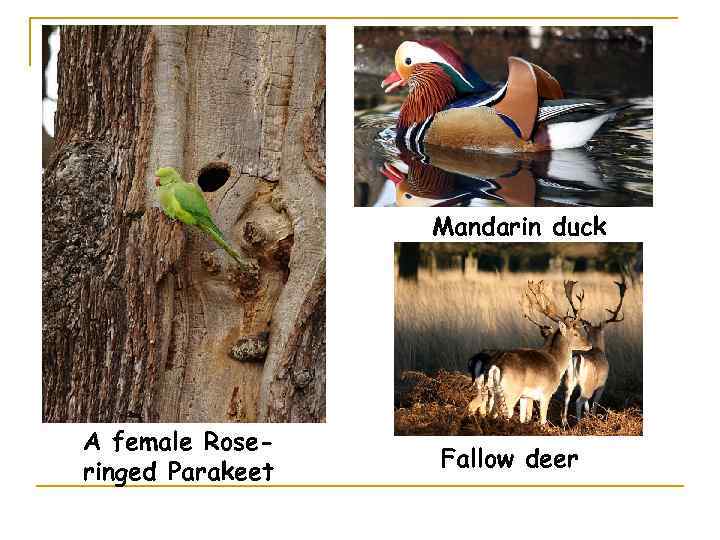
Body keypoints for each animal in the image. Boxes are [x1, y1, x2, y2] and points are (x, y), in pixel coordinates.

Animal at [467, 281, 592, 425]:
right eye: (576, 333)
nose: (589, 344)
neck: (557, 363)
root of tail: (495, 366)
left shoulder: (525, 397)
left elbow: (523, 417)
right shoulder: (546, 393)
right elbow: (542, 420)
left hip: (491, 389)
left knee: (483, 409)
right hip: (510, 392)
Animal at [560, 279, 626, 425]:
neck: (598, 349)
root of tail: (577, 359)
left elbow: (587, 406)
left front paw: (588, 416)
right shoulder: (602, 385)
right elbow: (594, 404)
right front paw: (593, 418)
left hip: (569, 380)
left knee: (567, 398)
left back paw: (565, 423)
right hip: (588, 385)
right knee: (578, 401)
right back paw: (579, 424)